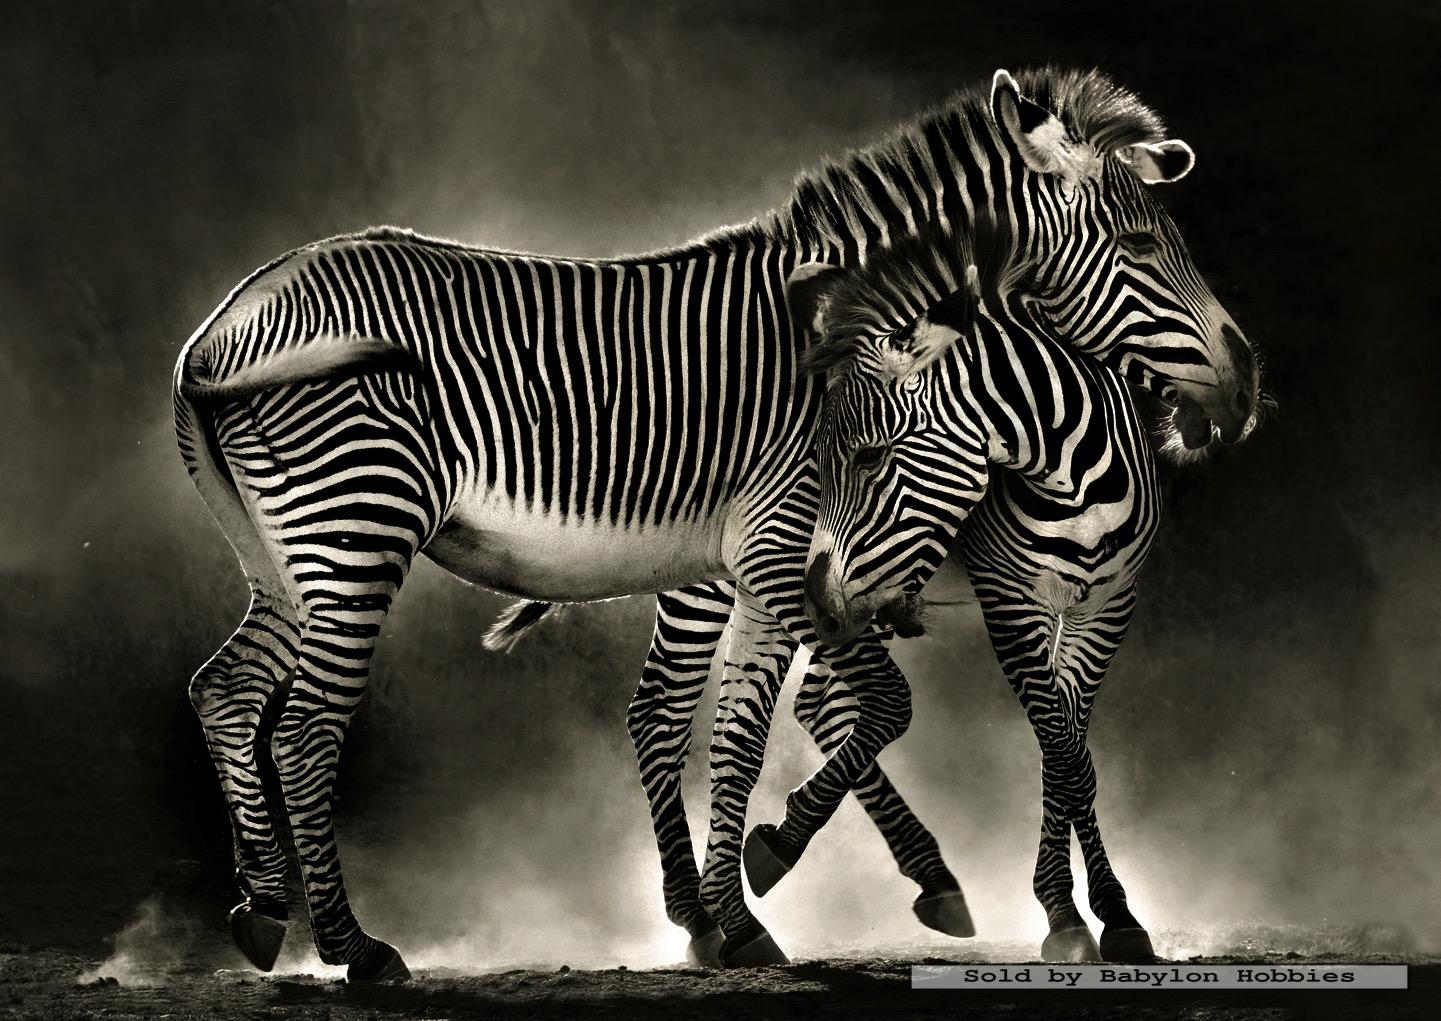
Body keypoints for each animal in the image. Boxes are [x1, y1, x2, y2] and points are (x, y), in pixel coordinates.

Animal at [174, 67, 1258, 979]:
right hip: (358, 524)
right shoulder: (792, 549)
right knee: (306, 726)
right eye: (1139, 246)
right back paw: (355, 948)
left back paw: (263, 911)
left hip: (286, 556)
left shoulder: (775, 563)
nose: (1243, 384)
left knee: (226, 688)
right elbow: (864, 705)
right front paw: (761, 883)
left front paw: (734, 919)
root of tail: (218, 328)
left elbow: (743, 730)